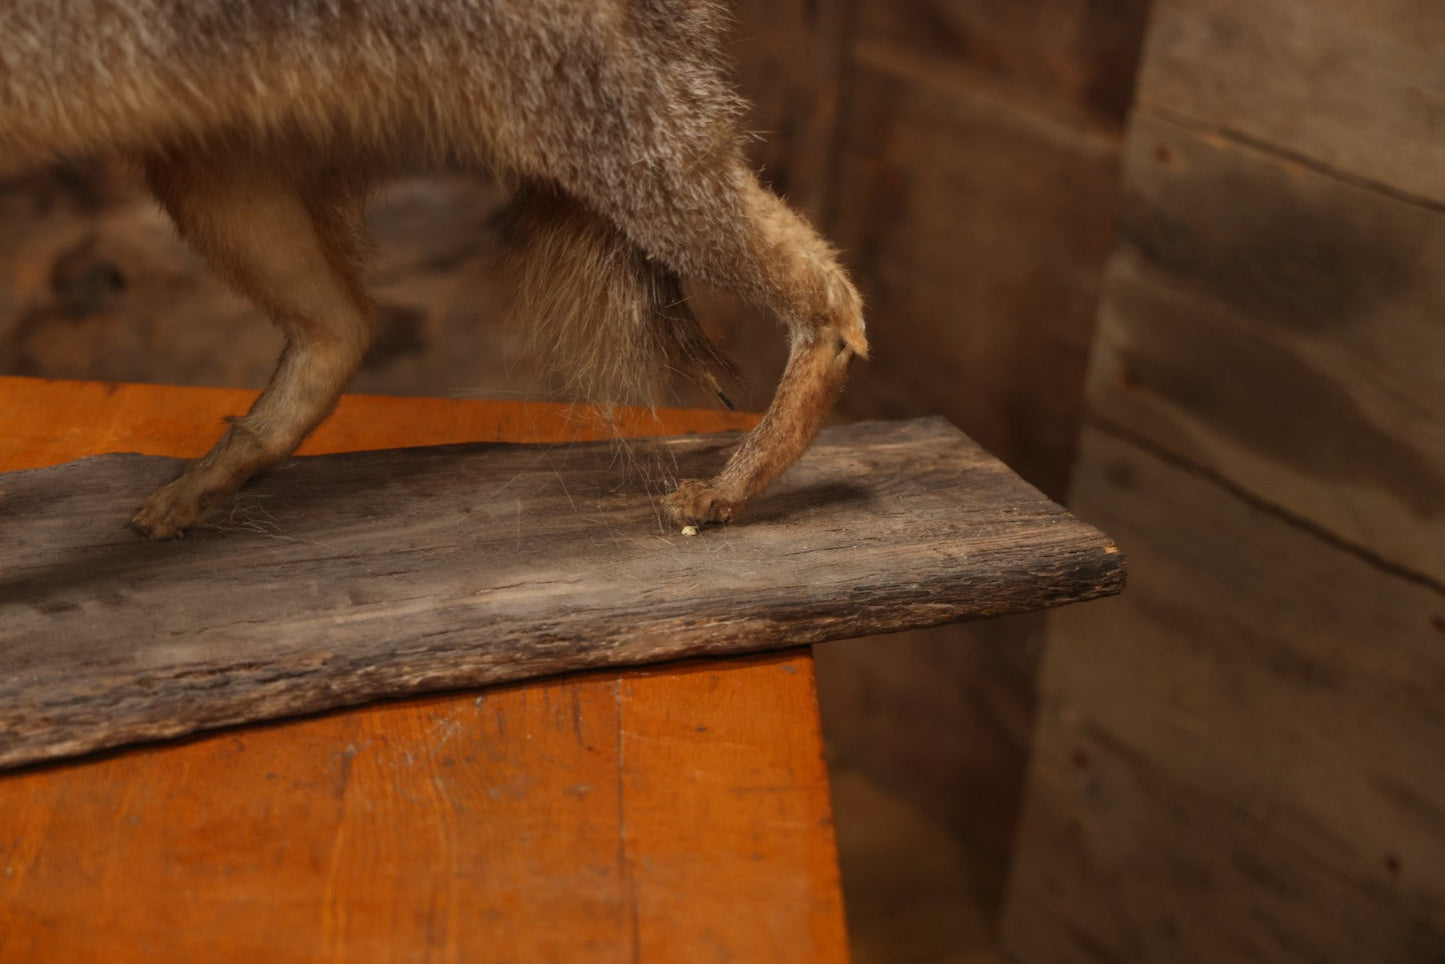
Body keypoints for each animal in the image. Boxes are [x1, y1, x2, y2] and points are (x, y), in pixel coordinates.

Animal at [0, 0, 867, 539]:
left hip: (617, 153)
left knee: (832, 296)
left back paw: (733, 484)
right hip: (208, 159)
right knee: (346, 327)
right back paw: (213, 475)